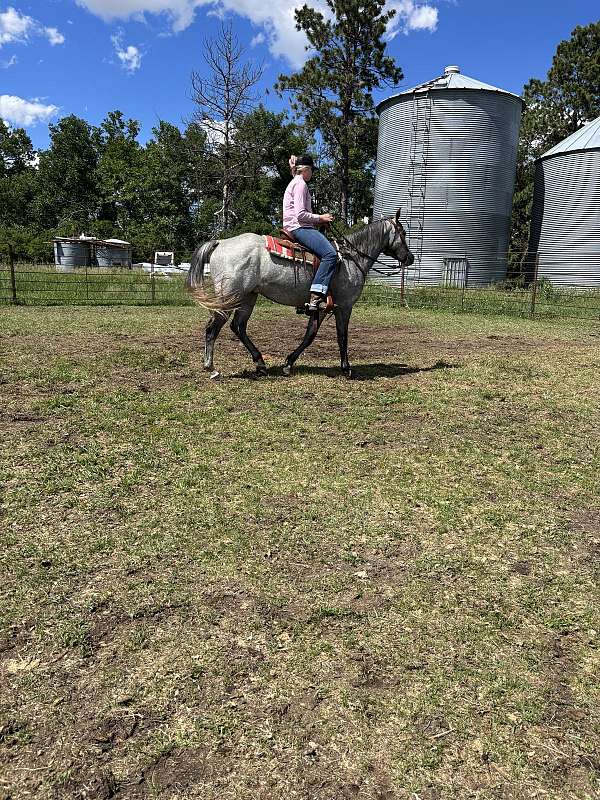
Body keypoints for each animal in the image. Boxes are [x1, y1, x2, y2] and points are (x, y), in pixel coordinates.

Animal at [186, 209, 414, 379]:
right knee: (212, 329)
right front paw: (346, 368)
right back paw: (211, 368)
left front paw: (288, 363)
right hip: (228, 298)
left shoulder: (321, 307)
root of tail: (221, 243)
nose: (410, 258)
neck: (350, 259)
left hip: (248, 297)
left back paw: (260, 364)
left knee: (238, 327)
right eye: (402, 233)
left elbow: (309, 335)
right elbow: (342, 336)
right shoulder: (344, 306)